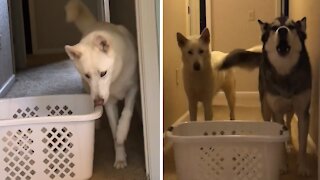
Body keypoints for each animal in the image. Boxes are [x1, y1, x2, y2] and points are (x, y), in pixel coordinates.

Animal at [64, 0, 137, 169]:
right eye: (87, 75)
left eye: (103, 73)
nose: (98, 101)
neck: (115, 78)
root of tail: (95, 24)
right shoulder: (108, 102)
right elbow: (113, 128)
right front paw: (120, 157)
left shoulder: (133, 87)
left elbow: (127, 112)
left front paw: (122, 133)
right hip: (87, 89)